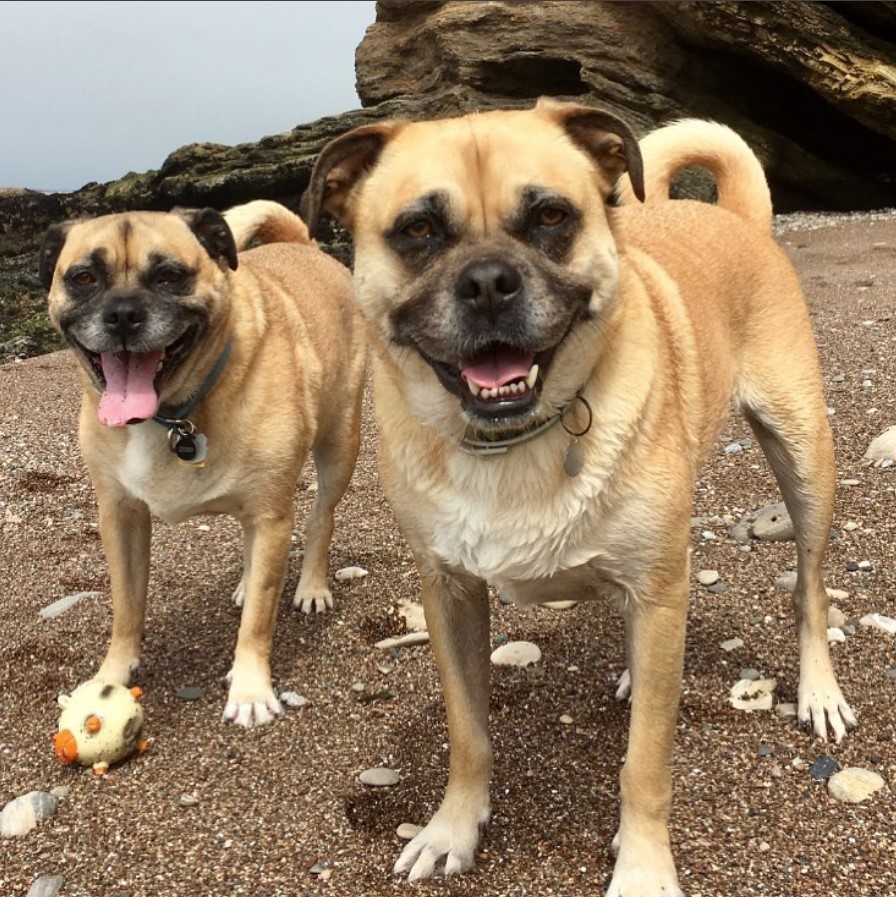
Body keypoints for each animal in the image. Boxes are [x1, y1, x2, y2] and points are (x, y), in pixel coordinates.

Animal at [38, 200, 368, 724]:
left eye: (170, 276)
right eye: (84, 277)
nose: (123, 314)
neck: (171, 417)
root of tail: (303, 244)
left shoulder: (272, 517)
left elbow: (257, 623)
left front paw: (251, 689)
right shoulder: (120, 518)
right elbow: (126, 606)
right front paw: (112, 675)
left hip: (339, 446)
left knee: (322, 519)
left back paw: (311, 585)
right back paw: (248, 582)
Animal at [302, 98, 860, 888]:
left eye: (550, 216)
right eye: (418, 231)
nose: (488, 282)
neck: (513, 439)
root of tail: (740, 219)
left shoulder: (657, 590)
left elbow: (644, 765)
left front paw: (645, 867)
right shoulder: (449, 593)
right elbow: (468, 732)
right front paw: (452, 827)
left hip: (804, 458)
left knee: (809, 590)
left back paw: (818, 692)